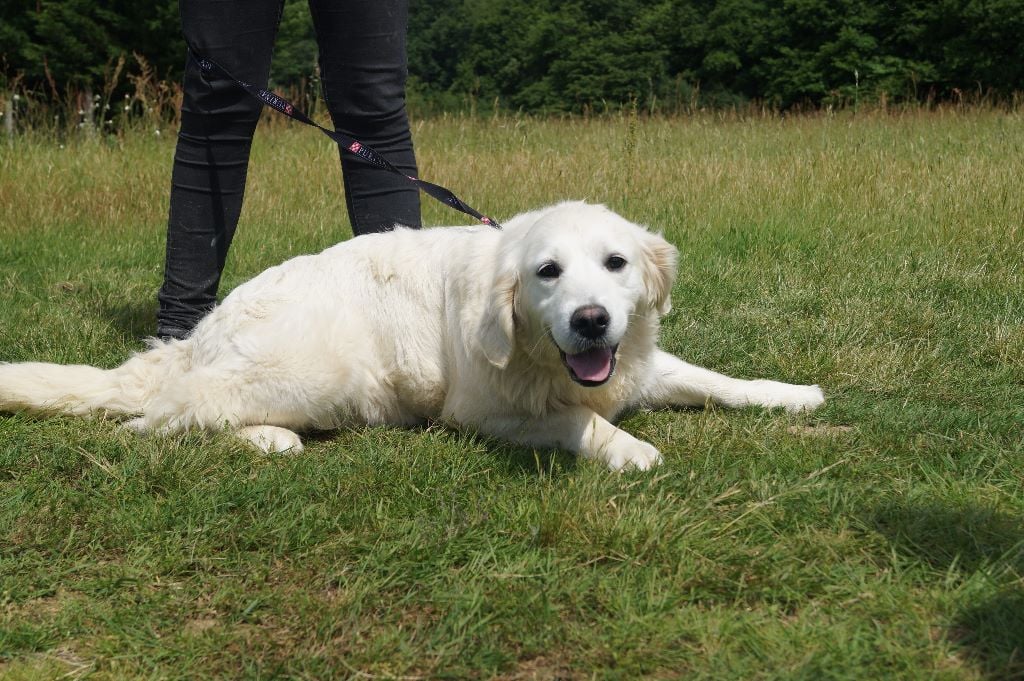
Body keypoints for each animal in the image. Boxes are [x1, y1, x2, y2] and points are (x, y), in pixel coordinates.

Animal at [0, 201, 819, 466]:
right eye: (547, 272)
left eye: (615, 263)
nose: (591, 320)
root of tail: (201, 330)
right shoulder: (482, 411)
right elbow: (578, 419)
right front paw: (631, 448)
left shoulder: (638, 361)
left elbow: (716, 379)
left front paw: (792, 394)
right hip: (324, 371)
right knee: (166, 413)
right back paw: (267, 437)